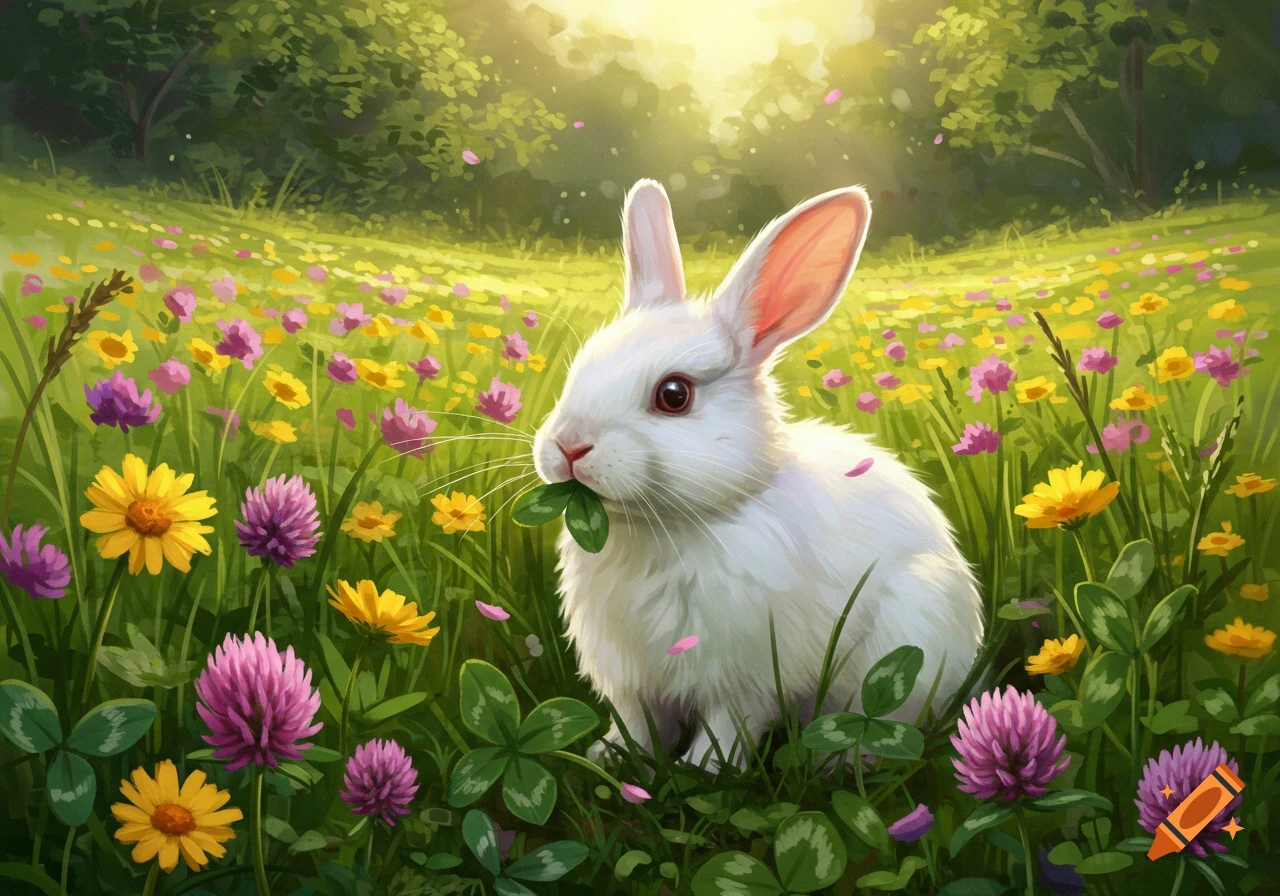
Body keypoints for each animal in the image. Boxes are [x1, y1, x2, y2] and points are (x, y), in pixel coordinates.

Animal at [531, 179, 984, 770]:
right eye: (581, 366)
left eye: (673, 395)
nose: (567, 445)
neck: (662, 528)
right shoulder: (633, 679)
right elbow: (638, 724)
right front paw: (609, 757)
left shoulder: (744, 679)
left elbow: (728, 728)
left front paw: (700, 770)